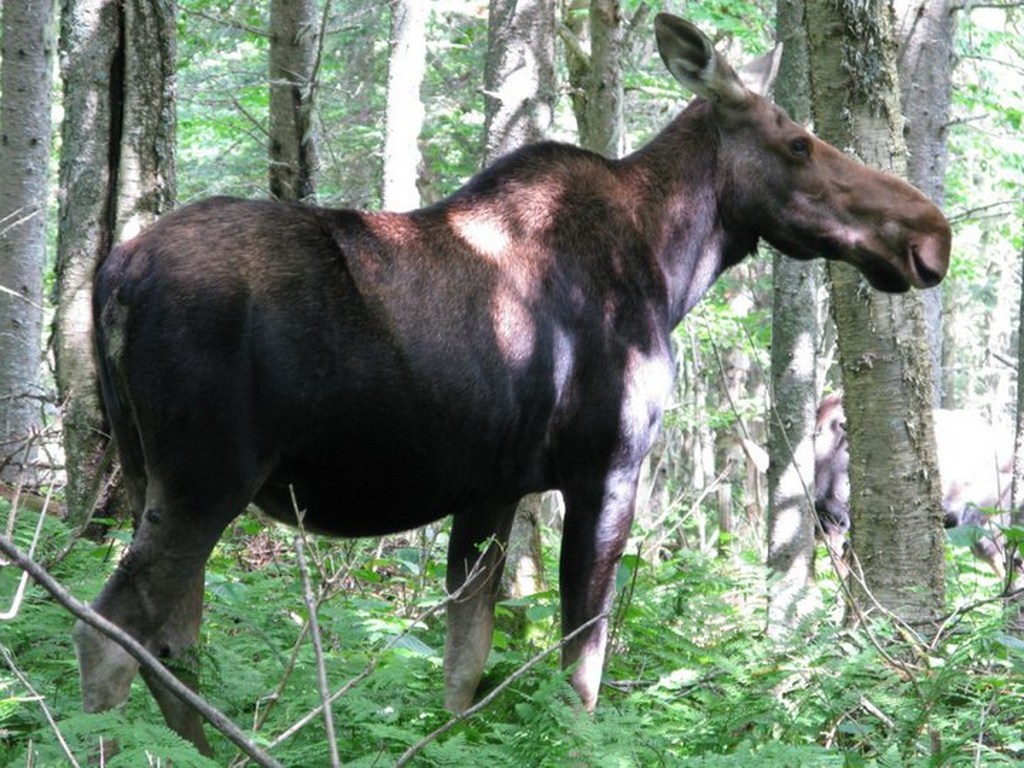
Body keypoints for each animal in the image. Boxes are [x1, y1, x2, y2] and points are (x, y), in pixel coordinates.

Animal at [77, 15, 950, 753]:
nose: (930, 233)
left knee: (171, 639)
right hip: (205, 479)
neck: (674, 267)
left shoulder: (490, 488)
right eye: (800, 143)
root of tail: (115, 279)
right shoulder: (608, 470)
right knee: (109, 632)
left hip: (150, 474)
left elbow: (464, 667)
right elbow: (579, 670)